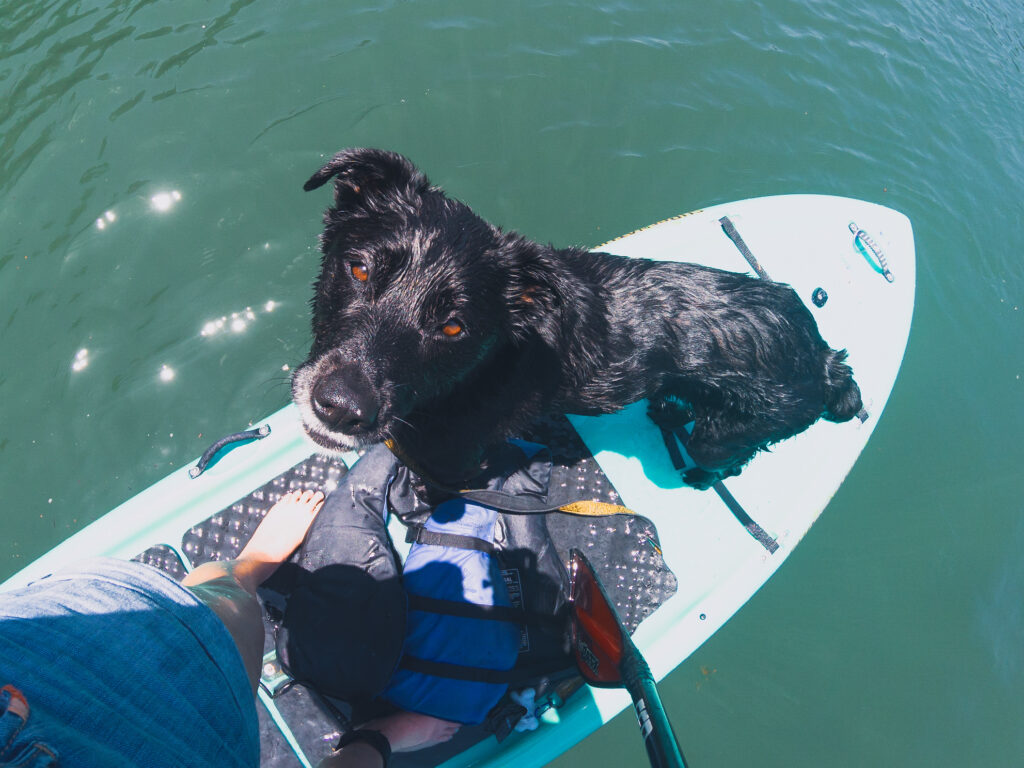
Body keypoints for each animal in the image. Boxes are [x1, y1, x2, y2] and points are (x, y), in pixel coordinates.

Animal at [292, 147, 860, 489]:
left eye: (455, 327)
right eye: (360, 268)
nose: (341, 408)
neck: (474, 374)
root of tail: (824, 358)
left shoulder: (457, 462)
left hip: (727, 432)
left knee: (733, 461)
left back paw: (700, 476)